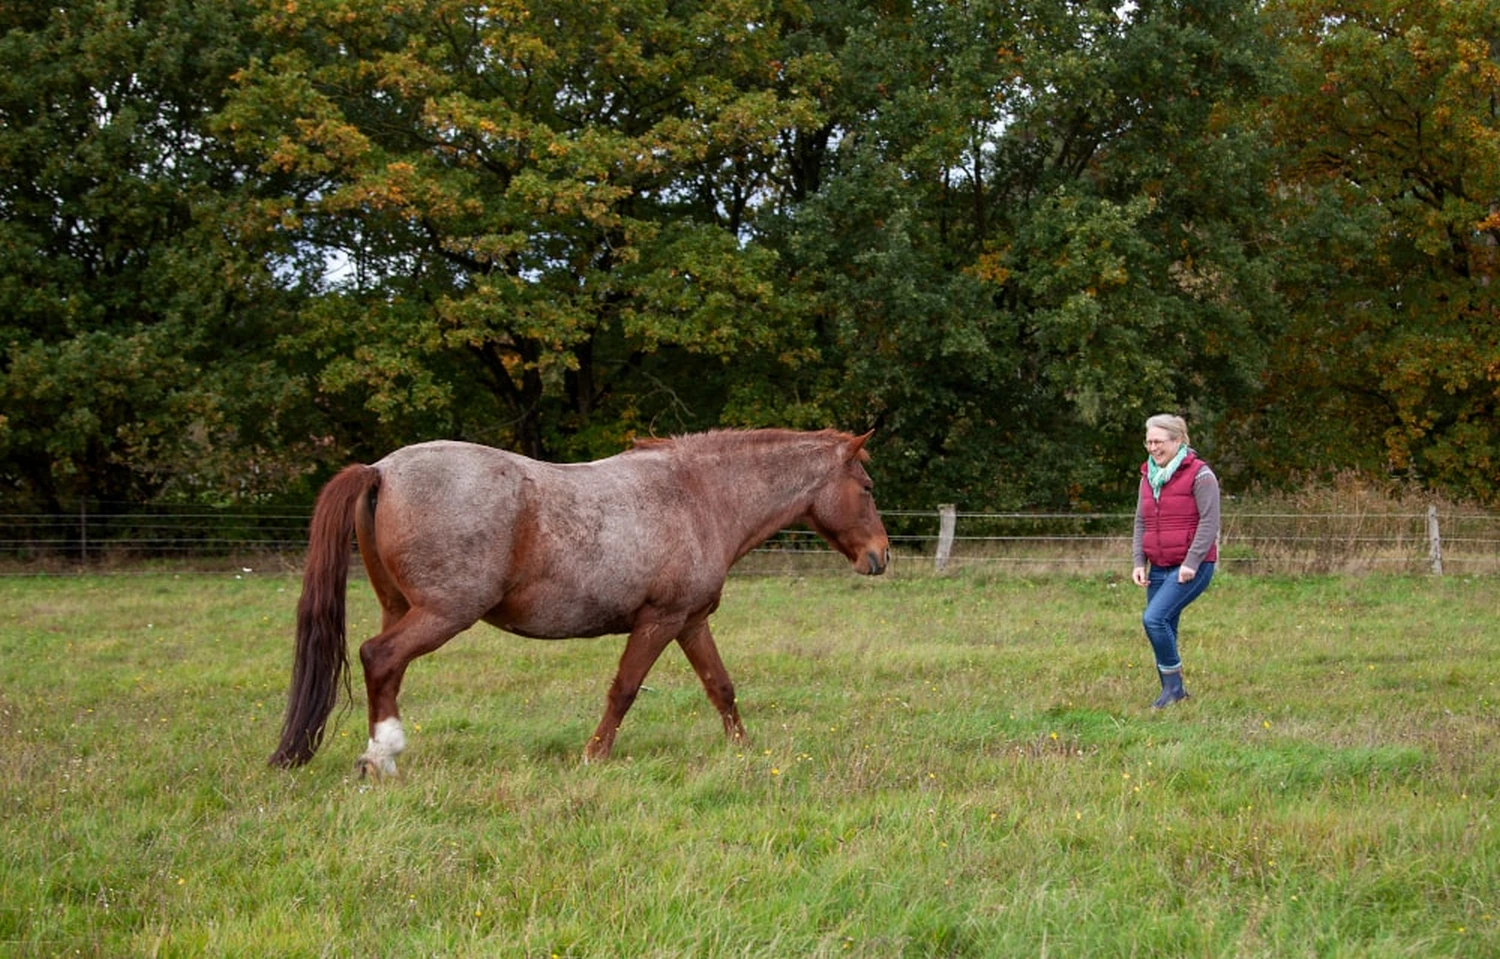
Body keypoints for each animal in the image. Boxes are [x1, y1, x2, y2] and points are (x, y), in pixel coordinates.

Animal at [270, 432, 888, 774]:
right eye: (867, 487)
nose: (880, 555)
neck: (697, 496)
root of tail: (380, 470)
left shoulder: (690, 622)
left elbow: (721, 687)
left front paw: (743, 750)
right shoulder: (659, 620)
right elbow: (625, 690)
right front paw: (594, 756)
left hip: (402, 608)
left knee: (389, 668)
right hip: (443, 614)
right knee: (379, 658)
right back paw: (381, 757)